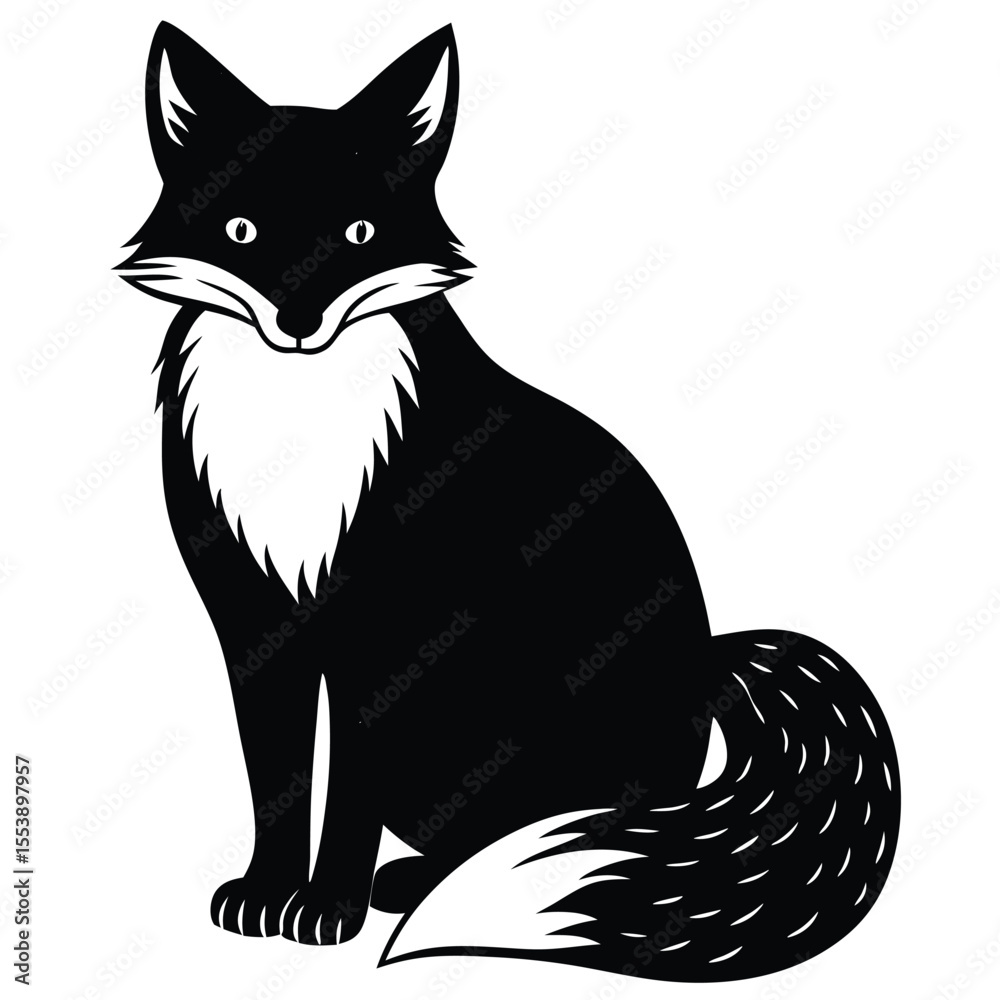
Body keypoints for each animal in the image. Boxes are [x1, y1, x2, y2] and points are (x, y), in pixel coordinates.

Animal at [117, 21, 900, 983]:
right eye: (241, 230)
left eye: (359, 232)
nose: (299, 326)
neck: (299, 426)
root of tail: (710, 671)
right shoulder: (255, 626)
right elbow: (277, 779)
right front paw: (266, 896)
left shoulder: (382, 635)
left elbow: (346, 794)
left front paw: (327, 909)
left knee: (557, 829)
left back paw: (412, 887)